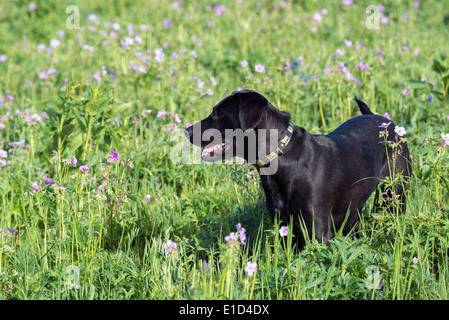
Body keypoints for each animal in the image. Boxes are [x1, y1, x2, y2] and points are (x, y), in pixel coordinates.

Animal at [183, 89, 410, 248]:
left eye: (219, 113)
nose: (186, 131)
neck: (279, 156)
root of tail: (387, 122)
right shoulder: (284, 227)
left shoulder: (317, 231)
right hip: (353, 209)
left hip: (395, 193)